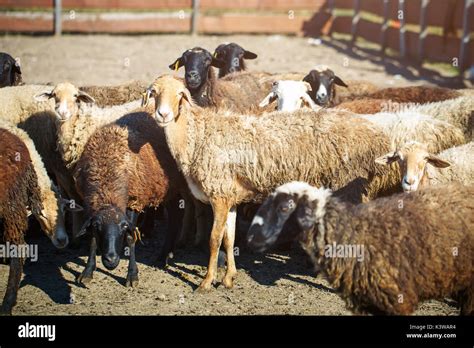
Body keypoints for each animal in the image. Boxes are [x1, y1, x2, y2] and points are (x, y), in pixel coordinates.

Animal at [73, 111, 186, 286]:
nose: (111, 260)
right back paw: (167, 253)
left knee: (176, 217)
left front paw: (132, 275)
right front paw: (87, 272)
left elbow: (131, 238)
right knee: (176, 216)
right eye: (98, 227)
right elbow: (92, 239)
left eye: (123, 227)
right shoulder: (90, 206)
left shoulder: (134, 201)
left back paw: (163, 256)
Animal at [142, 75, 404, 290]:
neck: (198, 135)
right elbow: (229, 238)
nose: (163, 115)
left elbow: (214, 240)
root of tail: (377, 136)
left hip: (349, 187)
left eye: (180, 94)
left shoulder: (219, 195)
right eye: (154, 93)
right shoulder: (230, 197)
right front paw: (229, 278)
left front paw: (206, 282)